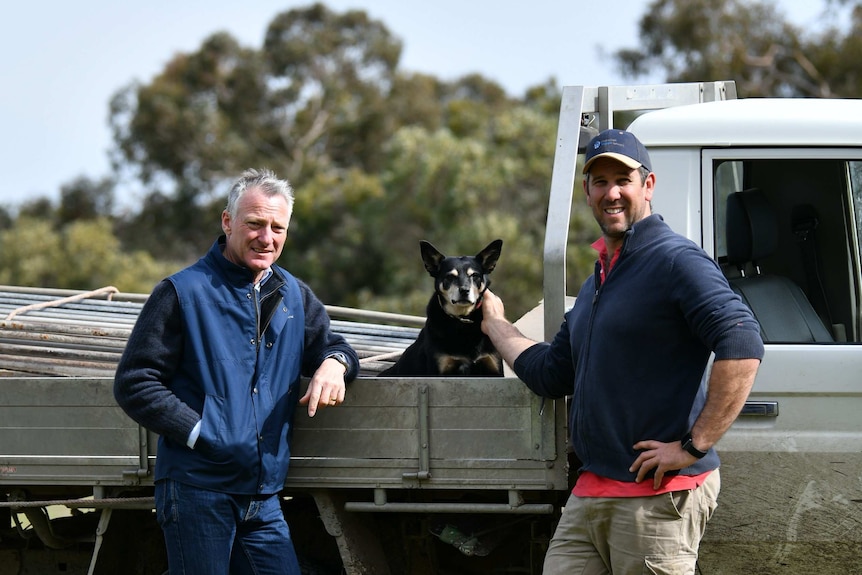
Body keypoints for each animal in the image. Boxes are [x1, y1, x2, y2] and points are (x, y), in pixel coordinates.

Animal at [382, 240, 502, 378]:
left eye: (475, 275)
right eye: (450, 277)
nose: (464, 290)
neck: (462, 319)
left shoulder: (494, 368)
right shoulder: (440, 369)